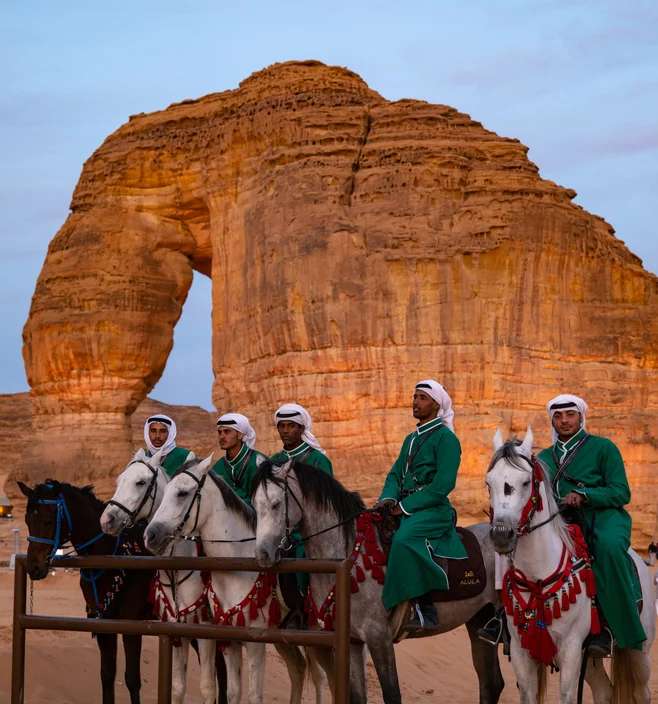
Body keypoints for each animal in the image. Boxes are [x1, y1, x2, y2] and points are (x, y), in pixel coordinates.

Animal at [100, 452, 226, 704]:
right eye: (119, 480)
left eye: (140, 482)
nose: (107, 520)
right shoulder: (174, 627)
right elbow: (177, 685)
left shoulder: (205, 627)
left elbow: (208, 686)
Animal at [142, 456, 322, 704]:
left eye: (182, 493)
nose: (150, 535)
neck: (236, 567)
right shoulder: (225, 637)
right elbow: (230, 691)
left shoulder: (251, 640)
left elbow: (253, 695)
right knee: (298, 667)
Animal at [251, 462, 502, 704]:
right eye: (255, 503)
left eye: (276, 504)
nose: (262, 554)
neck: (348, 558)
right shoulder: (353, 641)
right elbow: (357, 696)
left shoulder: (378, 637)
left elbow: (391, 694)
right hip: (478, 621)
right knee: (491, 684)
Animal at [484, 428, 652, 704]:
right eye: (489, 483)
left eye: (526, 482)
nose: (501, 535)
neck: (538, 576)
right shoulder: (521, 651)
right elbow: (528, 695)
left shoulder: (571, 649)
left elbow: (567, 696)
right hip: (591, 657)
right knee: (604, 691)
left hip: (639, 651)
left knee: (642, 693)